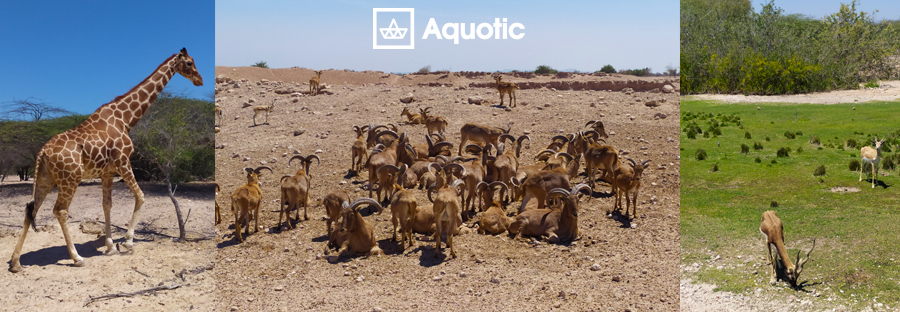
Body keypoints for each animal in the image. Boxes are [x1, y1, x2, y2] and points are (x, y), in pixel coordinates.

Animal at [8, 47, 203, 272]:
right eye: (189, 63)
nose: (200, 80)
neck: (126, 118)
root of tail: (43, 152)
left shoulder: (107, 172)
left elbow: (107, 205)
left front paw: (110, 247)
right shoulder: (124, 162)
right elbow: (141, 196)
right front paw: (127, 243)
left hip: (45, 179)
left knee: (30, 208)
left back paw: (16, 262)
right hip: (70, 179)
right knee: (60, 211)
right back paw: (77, 258)